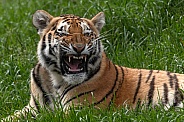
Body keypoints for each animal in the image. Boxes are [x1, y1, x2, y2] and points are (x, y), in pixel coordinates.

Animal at [2, 10, 184, 120]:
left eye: (87, 34)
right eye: (64, 33)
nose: (79, 47)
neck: (54, 80)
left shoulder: (78, 111)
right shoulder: (32, 108)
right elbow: (9, 117)